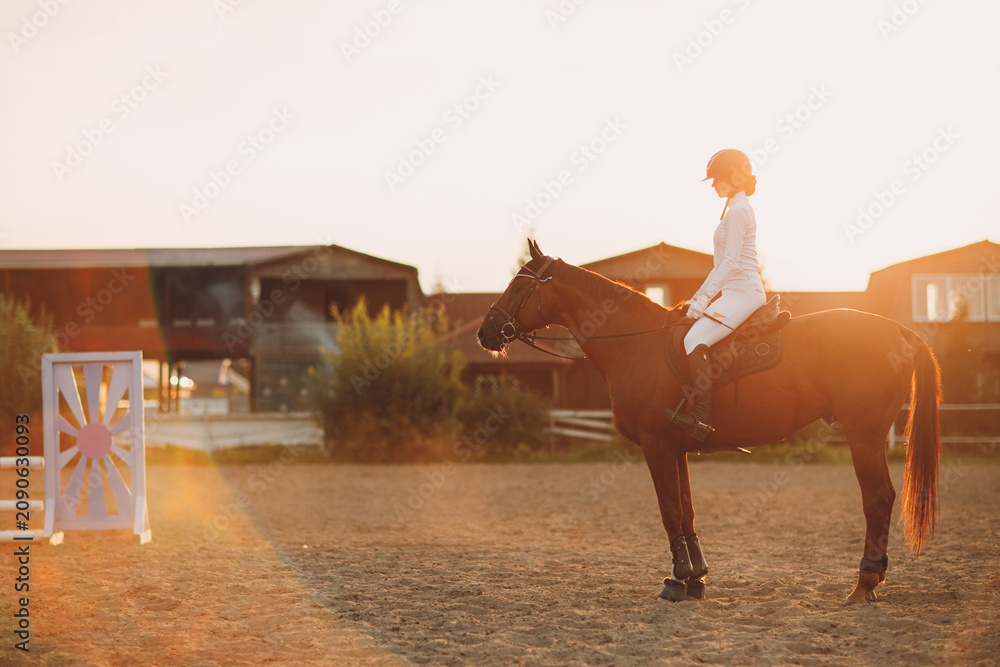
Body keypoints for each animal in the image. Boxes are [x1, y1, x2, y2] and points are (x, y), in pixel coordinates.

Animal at [477, 240, 942, 605]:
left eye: (518, 285)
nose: (486, 332)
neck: (637, 343)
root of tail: (899, 331)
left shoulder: (656, 445)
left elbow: (669, 511)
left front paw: (677, 580)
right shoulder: (676, 447)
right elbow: (686, 512)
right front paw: (695, 578)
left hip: (863, 435)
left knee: (877, 498)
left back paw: (864, 584)